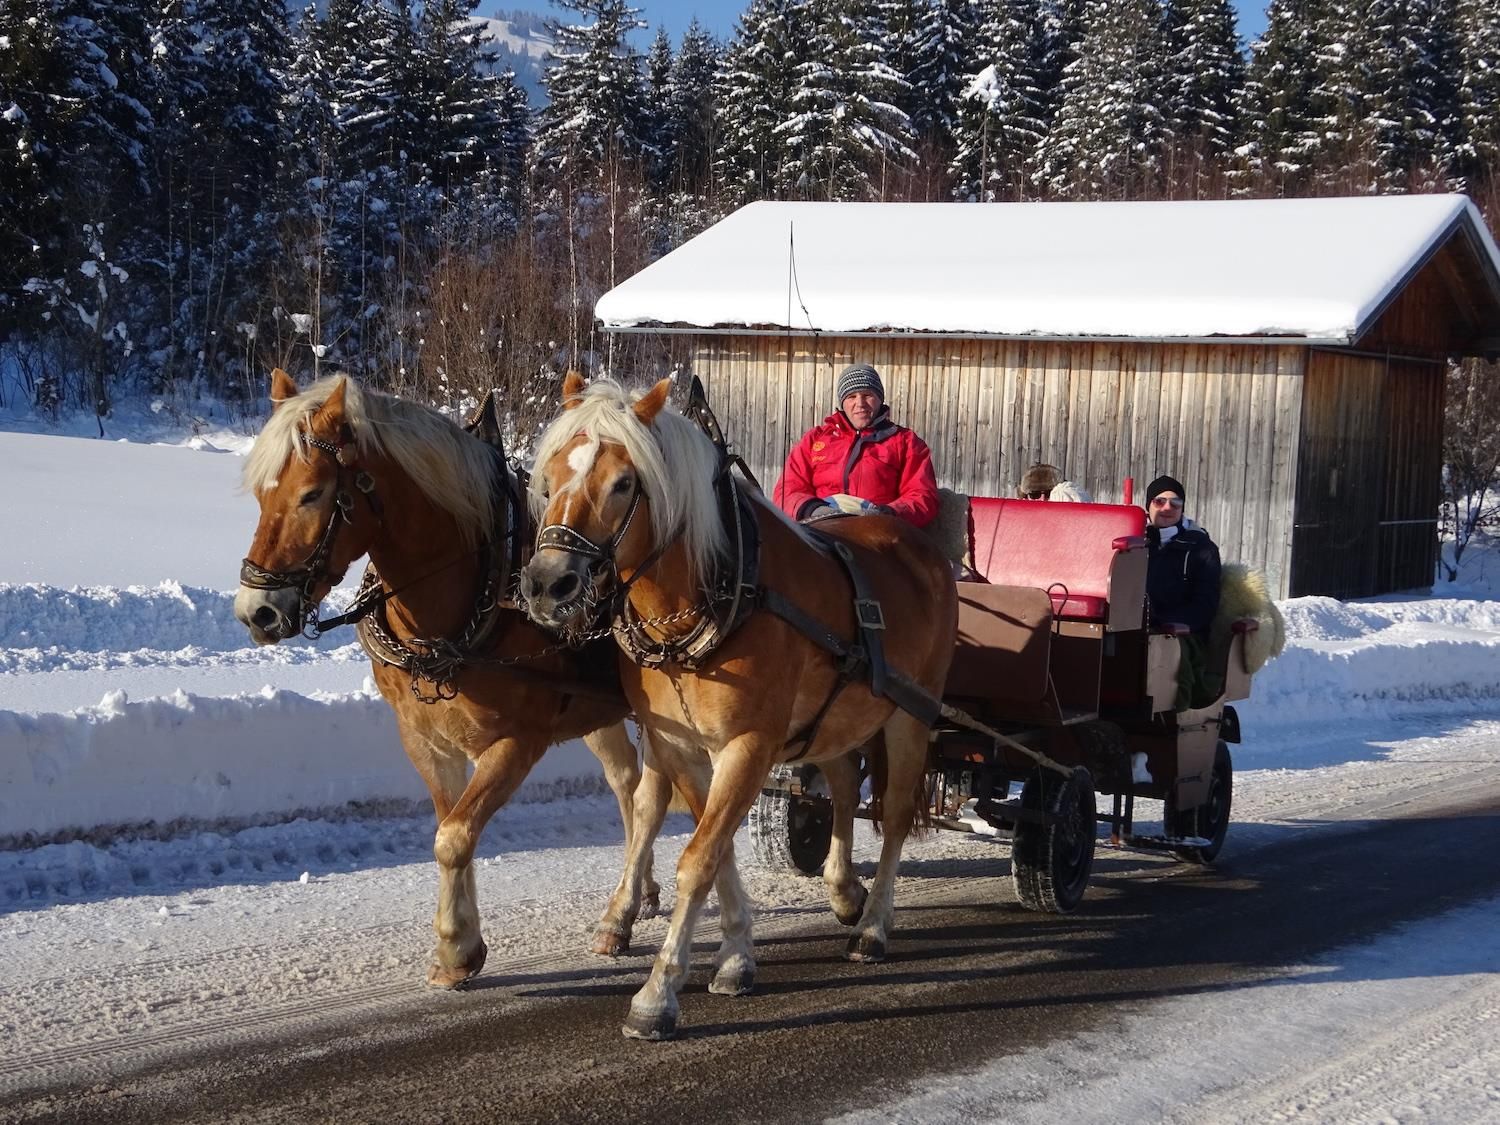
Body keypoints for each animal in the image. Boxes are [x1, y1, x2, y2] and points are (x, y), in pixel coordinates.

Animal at [234, 372, 669, 984]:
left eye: (312, 493)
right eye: (260, 494)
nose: (258, 612)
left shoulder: (518, 741)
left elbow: (456, 835)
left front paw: (456, 945)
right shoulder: (424, 738)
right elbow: (447, 828)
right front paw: (458, 945)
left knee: (652, 795)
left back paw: (623, 907)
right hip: (598, 712)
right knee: (628, 786)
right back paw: (639, 896)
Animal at [522, 375, 954, 1044]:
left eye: (623, 483)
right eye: (549, 476)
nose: (547, 584)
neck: (718, 593)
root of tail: (922, 549)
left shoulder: (748, 745)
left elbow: (698, 858)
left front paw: (657, 995)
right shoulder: (680, 745)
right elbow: (713, 842)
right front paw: (734, 957)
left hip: (912, 713)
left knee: (898, 812)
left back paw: (874, 926)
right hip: (836, 718)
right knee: (840, 785)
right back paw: (843, 890)